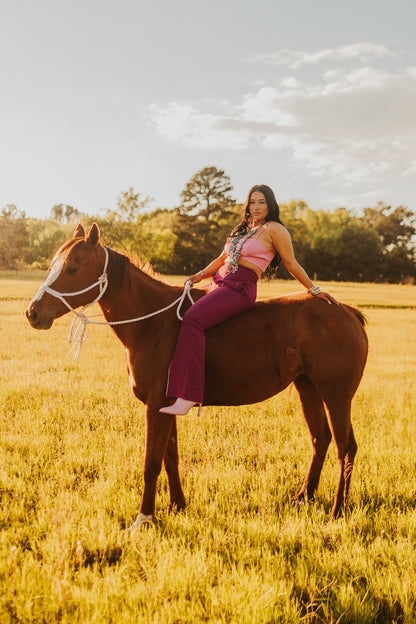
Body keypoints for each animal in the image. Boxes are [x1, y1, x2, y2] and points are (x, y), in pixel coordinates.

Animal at [25, 224, 368, 528]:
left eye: (72, 268)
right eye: (53, 265)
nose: (33, 312)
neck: (154, 322)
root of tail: (346, 311)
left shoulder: (155, 406)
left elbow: (151, 463)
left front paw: (144, 517)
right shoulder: (167, 406)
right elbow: (170, 458)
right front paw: (177, 505)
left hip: (337, 396)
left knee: (346, 447)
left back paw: (338, 511)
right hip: (308, 388)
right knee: (320, 440)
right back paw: (303, 496)